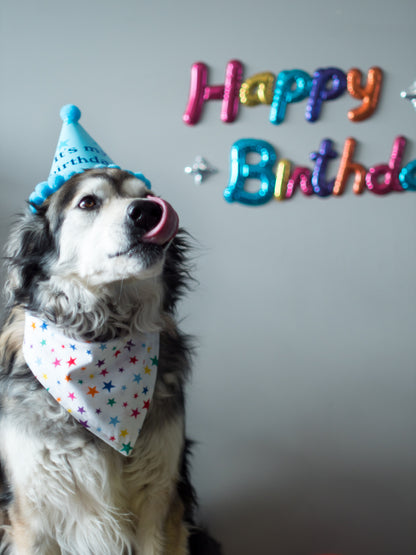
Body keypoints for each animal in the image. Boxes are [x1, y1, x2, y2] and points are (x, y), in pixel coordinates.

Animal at [0, 169, 221, 555]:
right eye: (88, 202)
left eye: (147, 194)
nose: (147, 212)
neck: (101, 336)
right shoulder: (30, 512)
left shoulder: (160, 504)